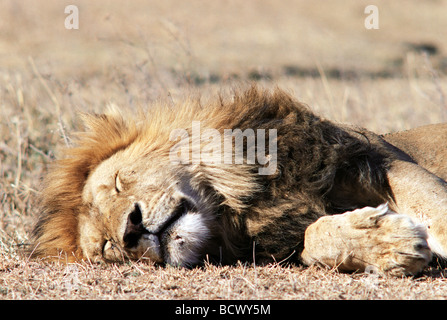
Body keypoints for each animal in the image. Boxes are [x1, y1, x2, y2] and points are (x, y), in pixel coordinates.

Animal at [33, 87, 447, 276]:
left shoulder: (372, 156)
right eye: (108, 247)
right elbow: (315, 239)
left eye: (119, 182)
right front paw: (391, 243)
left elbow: (432, 206)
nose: (131, 230)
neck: (240, 206)